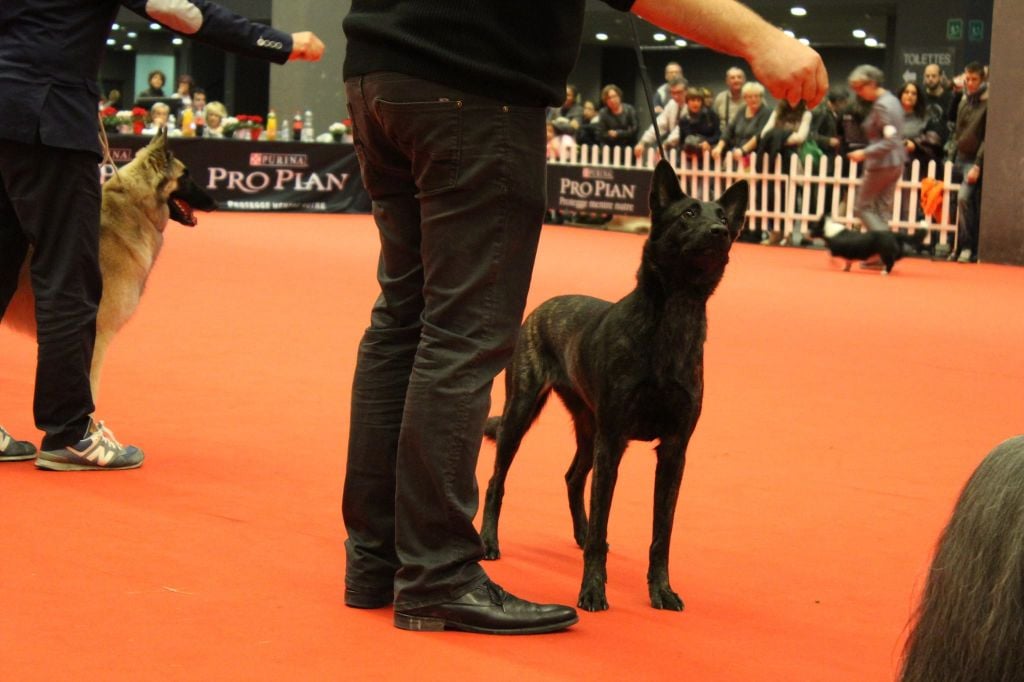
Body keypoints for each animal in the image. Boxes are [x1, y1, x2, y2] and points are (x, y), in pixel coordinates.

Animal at [475, 160, 749, 610]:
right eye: (688, 213)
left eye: (724, 217)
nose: (719, 233)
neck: (674, 316)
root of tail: (542, 307)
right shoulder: (614, 442)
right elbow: (604, 525)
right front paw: (592, 590)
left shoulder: (673, 451)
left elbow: (661, 535)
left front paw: (661, 591)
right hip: (523, 412)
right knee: (498, 481)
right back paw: (489, 542)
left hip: (589, 428)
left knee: (572, 477)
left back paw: (579, 532)